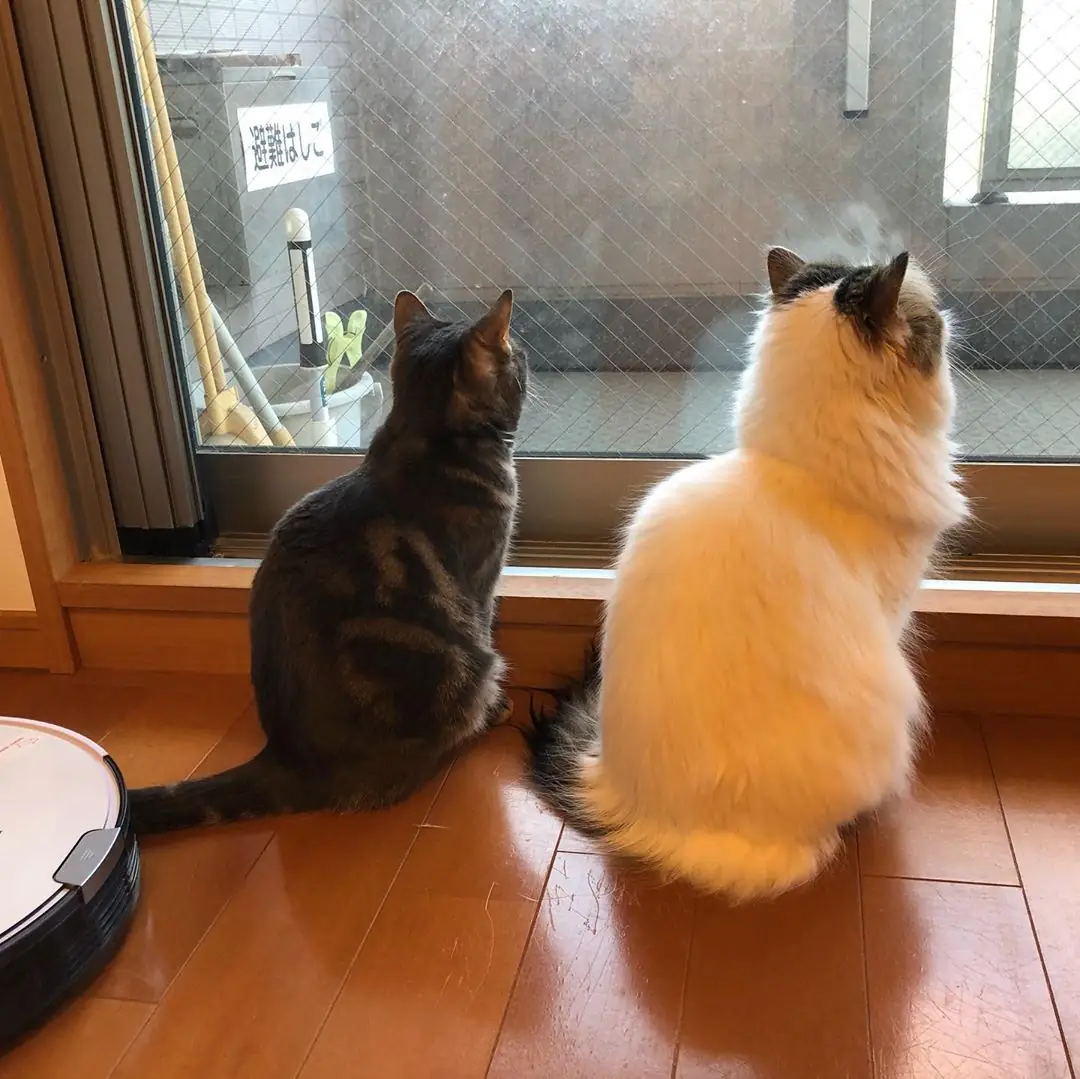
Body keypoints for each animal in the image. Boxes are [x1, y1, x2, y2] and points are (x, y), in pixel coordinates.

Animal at [130, 289, 527, 833]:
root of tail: (284, 757)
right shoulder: (483, 582)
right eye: (519, 358)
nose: (526, 360)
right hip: (466, 666)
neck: (426, 434)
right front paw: (501, 706)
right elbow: (488, 624)